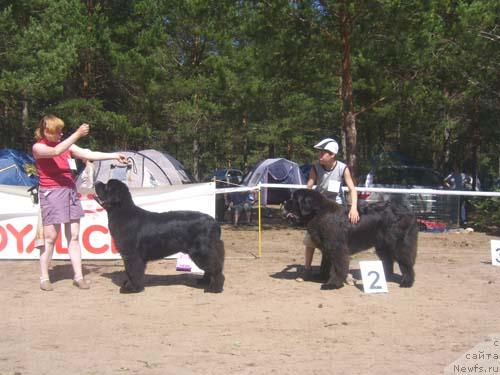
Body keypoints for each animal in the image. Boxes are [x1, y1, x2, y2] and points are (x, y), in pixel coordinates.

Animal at [94, 181, 227, 296]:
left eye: (107, 186)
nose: (96, 182)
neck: (121, 212)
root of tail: (214, 222)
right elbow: (130, 272)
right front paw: (128, 285)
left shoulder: (132, 255)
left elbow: (132, 271)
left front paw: (132, 288)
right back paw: (204, 281)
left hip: (201, 251)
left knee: (216, 269)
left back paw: (214, 289)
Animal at [286, 191, 418, 290]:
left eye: (294, 199)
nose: (285, 202)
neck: (319, 213)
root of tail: (408, 211)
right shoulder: (327, 248)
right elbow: (326, 264)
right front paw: (322, 276)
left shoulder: (337, 248)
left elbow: (337, 267)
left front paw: (332, 284)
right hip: (382, 246)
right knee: (388, 261)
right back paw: (385, 277)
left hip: (398, 245)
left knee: (406, 263)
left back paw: (407, 282)